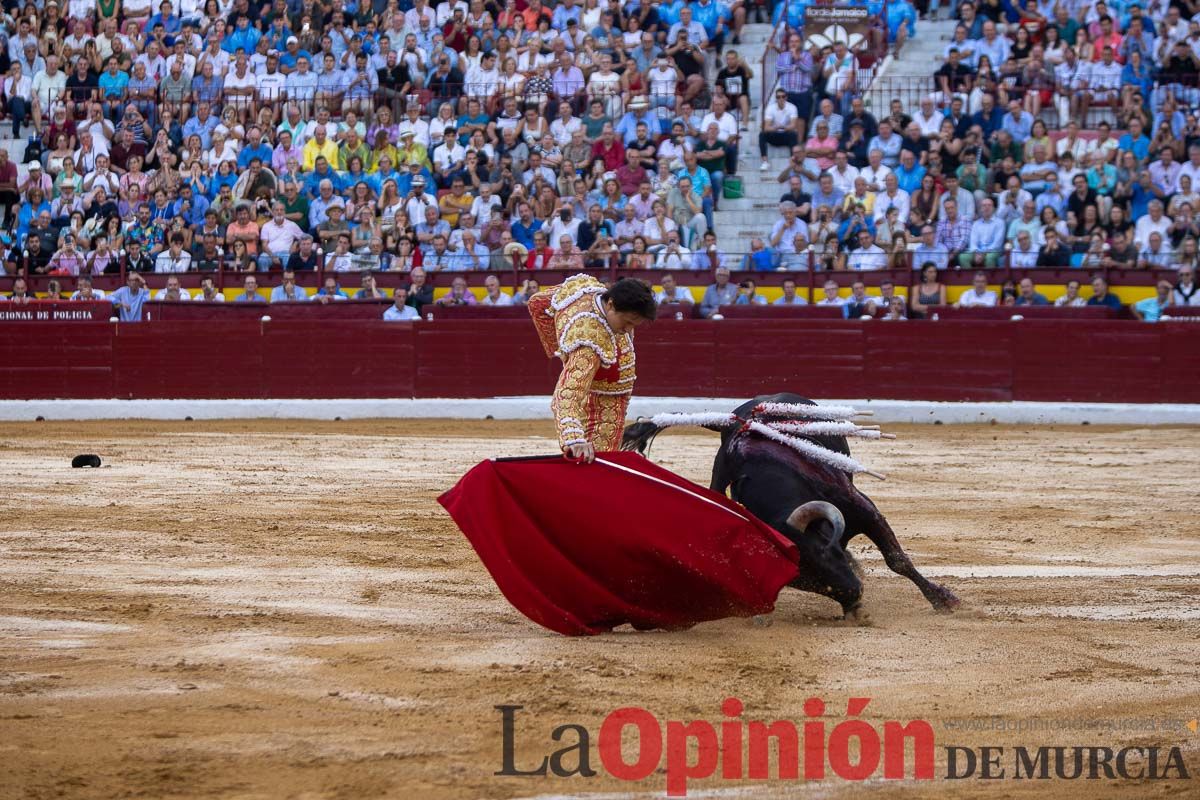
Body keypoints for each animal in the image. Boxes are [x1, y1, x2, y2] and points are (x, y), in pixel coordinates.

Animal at [624, 393, 960, 618]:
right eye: (802, 581)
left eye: (824, 552)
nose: (853, 596)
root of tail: (741, 411)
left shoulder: (863, 508)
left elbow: (896, 559)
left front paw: (943, 599)